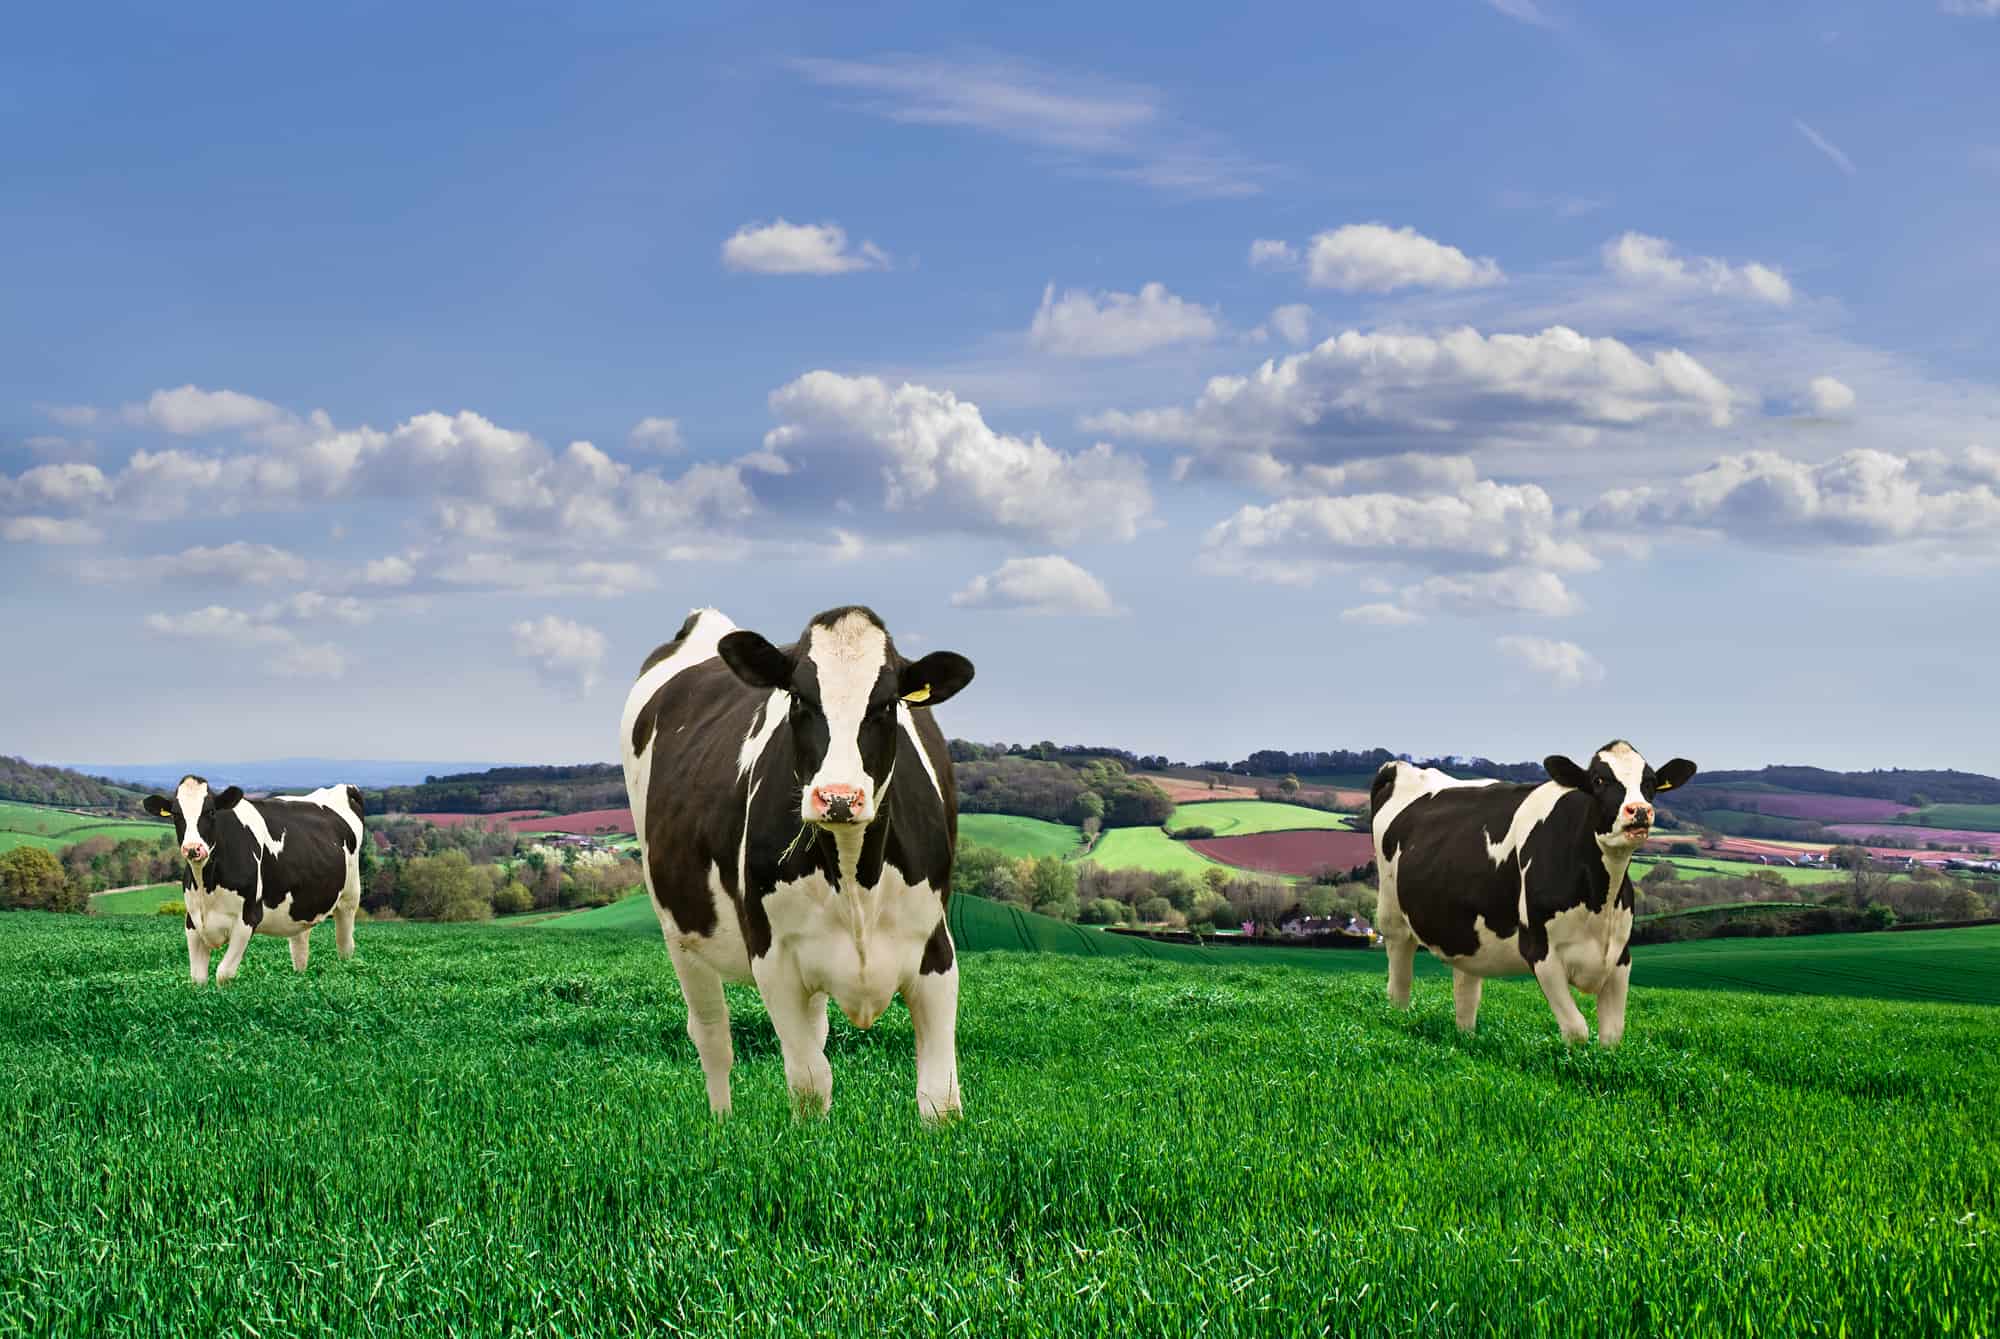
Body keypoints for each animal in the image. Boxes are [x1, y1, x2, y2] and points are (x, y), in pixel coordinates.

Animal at [141, 783, 368, 991]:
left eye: (211, 811)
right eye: (176, 814)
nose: (192, 848)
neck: (208, 886)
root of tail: (343, 788)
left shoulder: (247, 919)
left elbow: (224, 973)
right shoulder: (193, 921)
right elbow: (198, 978)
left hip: (349, 898)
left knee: (345, 945)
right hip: (300, 905)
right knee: (300, 945)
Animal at [616, 607, 976, 1119]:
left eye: (887, 704)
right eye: (800, 698)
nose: (839, 798)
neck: (855, 877)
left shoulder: (936, 951)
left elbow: (940, 1097)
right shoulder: (775, 961)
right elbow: (809, 1083)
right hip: (680, 931)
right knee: (712, 1037)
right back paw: (721, 1122)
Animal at [1368, 743, 1696, 1047]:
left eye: (1650, 782)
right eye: (1599, 779)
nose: (1639, 810)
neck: (1597, 901)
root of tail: (1403, 767)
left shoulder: (1619, 957)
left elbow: (1612, 1035)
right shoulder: (1541, 952)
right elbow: (1577, 1030)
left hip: (1467, 932)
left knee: (1466, 988)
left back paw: (1467, 1040)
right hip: (1393, 918)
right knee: (1398, 984)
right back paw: (1399, 1024)